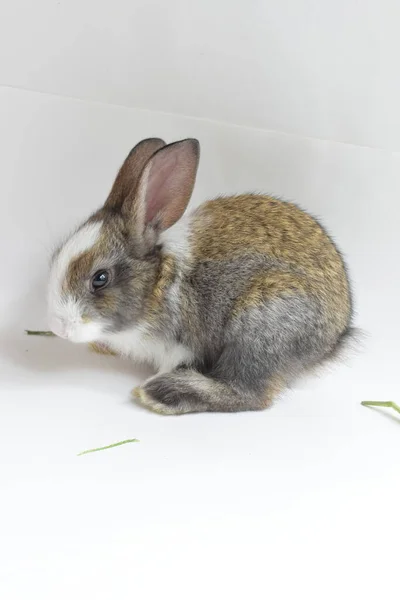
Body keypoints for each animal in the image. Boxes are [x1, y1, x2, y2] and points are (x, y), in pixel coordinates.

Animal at [47, 138, 354, 414]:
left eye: (100, 278)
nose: (58, 328)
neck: (157, 285)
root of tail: (334, 338)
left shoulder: (181, 346)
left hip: (260, 326)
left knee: (251, 393)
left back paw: (163, 393)